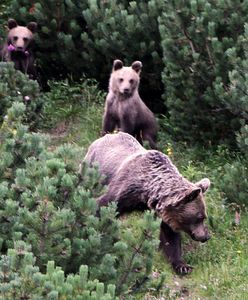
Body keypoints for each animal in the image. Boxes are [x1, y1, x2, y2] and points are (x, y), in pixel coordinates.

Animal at [84, 132, 211, 276]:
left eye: (204, 216)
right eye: (199, 217)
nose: (206, 236)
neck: (147, 193)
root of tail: (106, 136)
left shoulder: (164, 213)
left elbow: (170, 237)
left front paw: (182, 265)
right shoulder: (124, 191)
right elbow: (102, 207)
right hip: (93, 168)